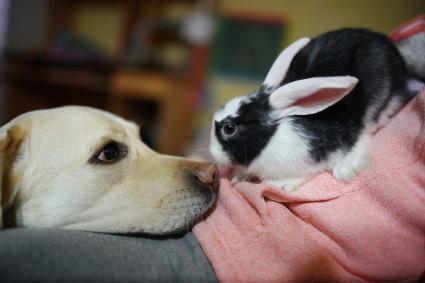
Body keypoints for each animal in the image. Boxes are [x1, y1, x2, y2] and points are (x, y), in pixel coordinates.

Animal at [210, 28, 410, 192]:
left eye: (229, 128)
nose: (213, 154)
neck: (271, 138)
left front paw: (280, 185)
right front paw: (239, 176)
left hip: (378, 105)